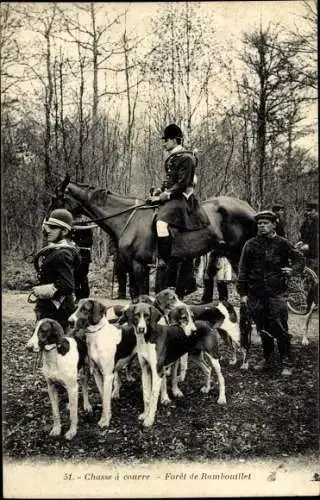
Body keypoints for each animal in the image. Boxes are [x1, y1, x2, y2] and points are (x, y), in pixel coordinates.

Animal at [52, 178, 258, 298]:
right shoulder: (135, 266)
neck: (128, 217)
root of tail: (250, 209)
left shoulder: (139, 265)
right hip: (232, 255)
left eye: (57, 197)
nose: (49, 223)